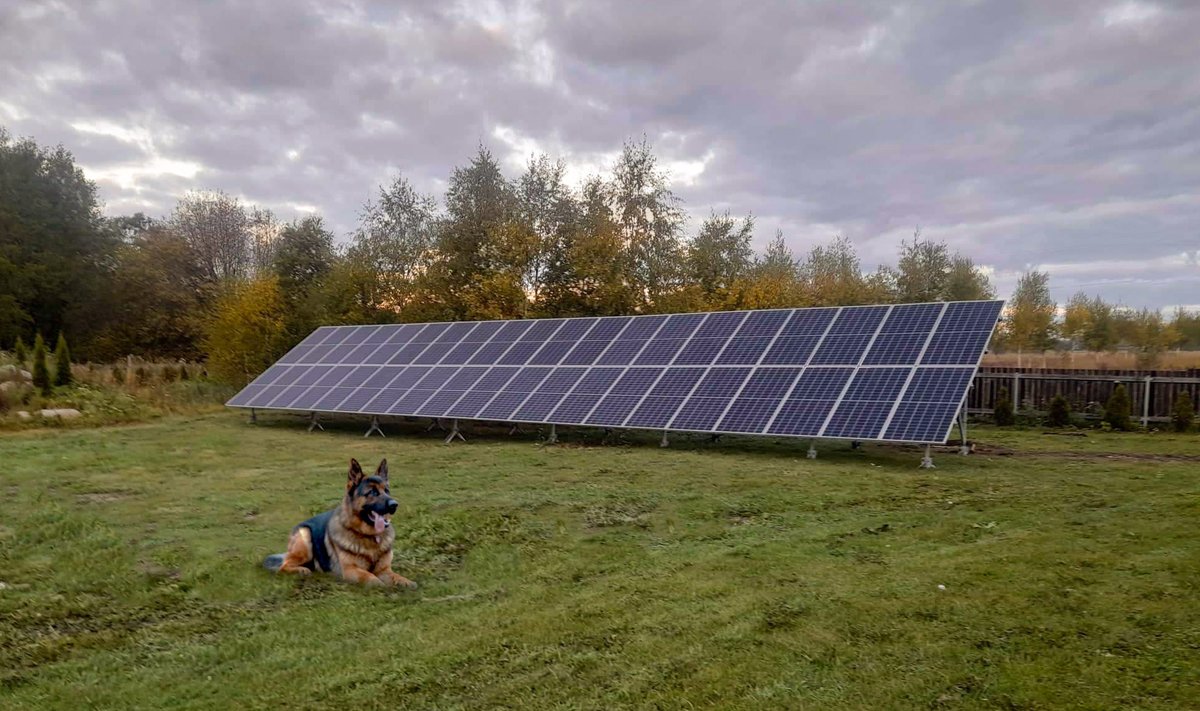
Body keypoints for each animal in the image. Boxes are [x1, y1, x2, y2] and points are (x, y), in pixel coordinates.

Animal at [262, 458, 417, 586]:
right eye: (372, 492)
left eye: (387, 491)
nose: (394, 505)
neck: (370, 536)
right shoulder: (350, 570)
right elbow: (372, 578)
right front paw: (380, 585)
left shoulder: (384, 570)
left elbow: (397, 577)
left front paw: (406, 582)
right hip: (305, 537)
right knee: (283, 566)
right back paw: (301, 570)